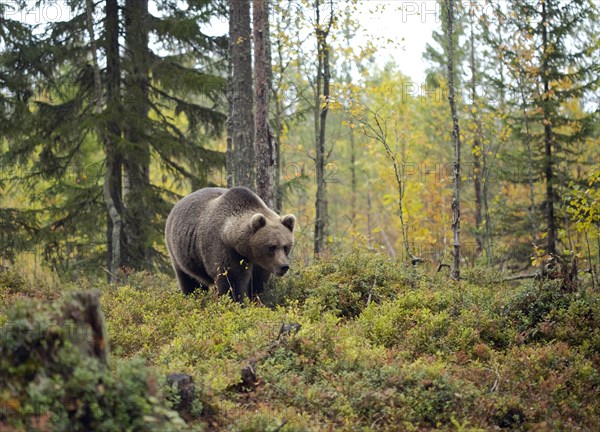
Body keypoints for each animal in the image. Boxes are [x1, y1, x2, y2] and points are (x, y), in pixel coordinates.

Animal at [164, 187, 296, 302]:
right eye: (271, 247)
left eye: (285, 247)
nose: (284, 266)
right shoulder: (224, 249)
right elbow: (231, 280)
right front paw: (237, 302)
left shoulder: (261, 264)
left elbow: (258, 282)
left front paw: (257, 300)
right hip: (180, 252)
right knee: (189, 279)